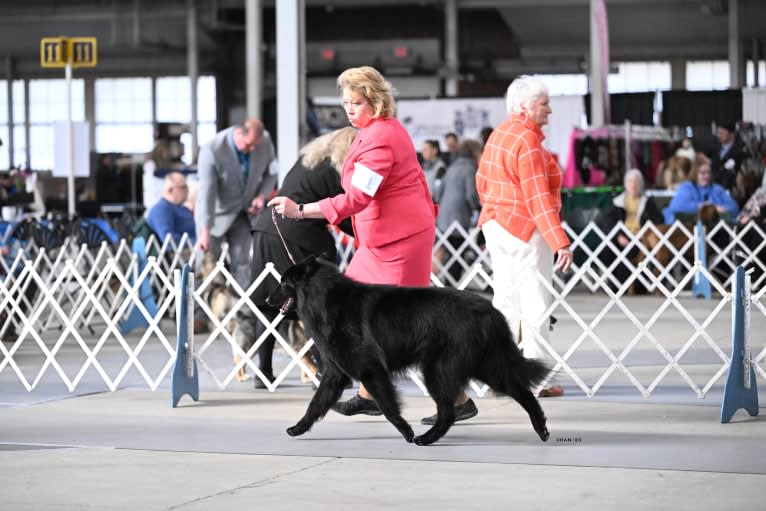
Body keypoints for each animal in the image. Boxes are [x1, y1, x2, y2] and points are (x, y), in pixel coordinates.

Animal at [268, 258, 552, 446]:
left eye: (283, 283)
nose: (267, 300)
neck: (326, 299)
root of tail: (490, 311)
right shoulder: (335, 375)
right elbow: (315, 404)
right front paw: (298, 428)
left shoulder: (370, 370)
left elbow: (389, 407)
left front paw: (406, 431)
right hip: (484, 366)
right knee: (521, 391)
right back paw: (541, 427)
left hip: (438, 371)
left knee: (448, 411)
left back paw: (426, 438)